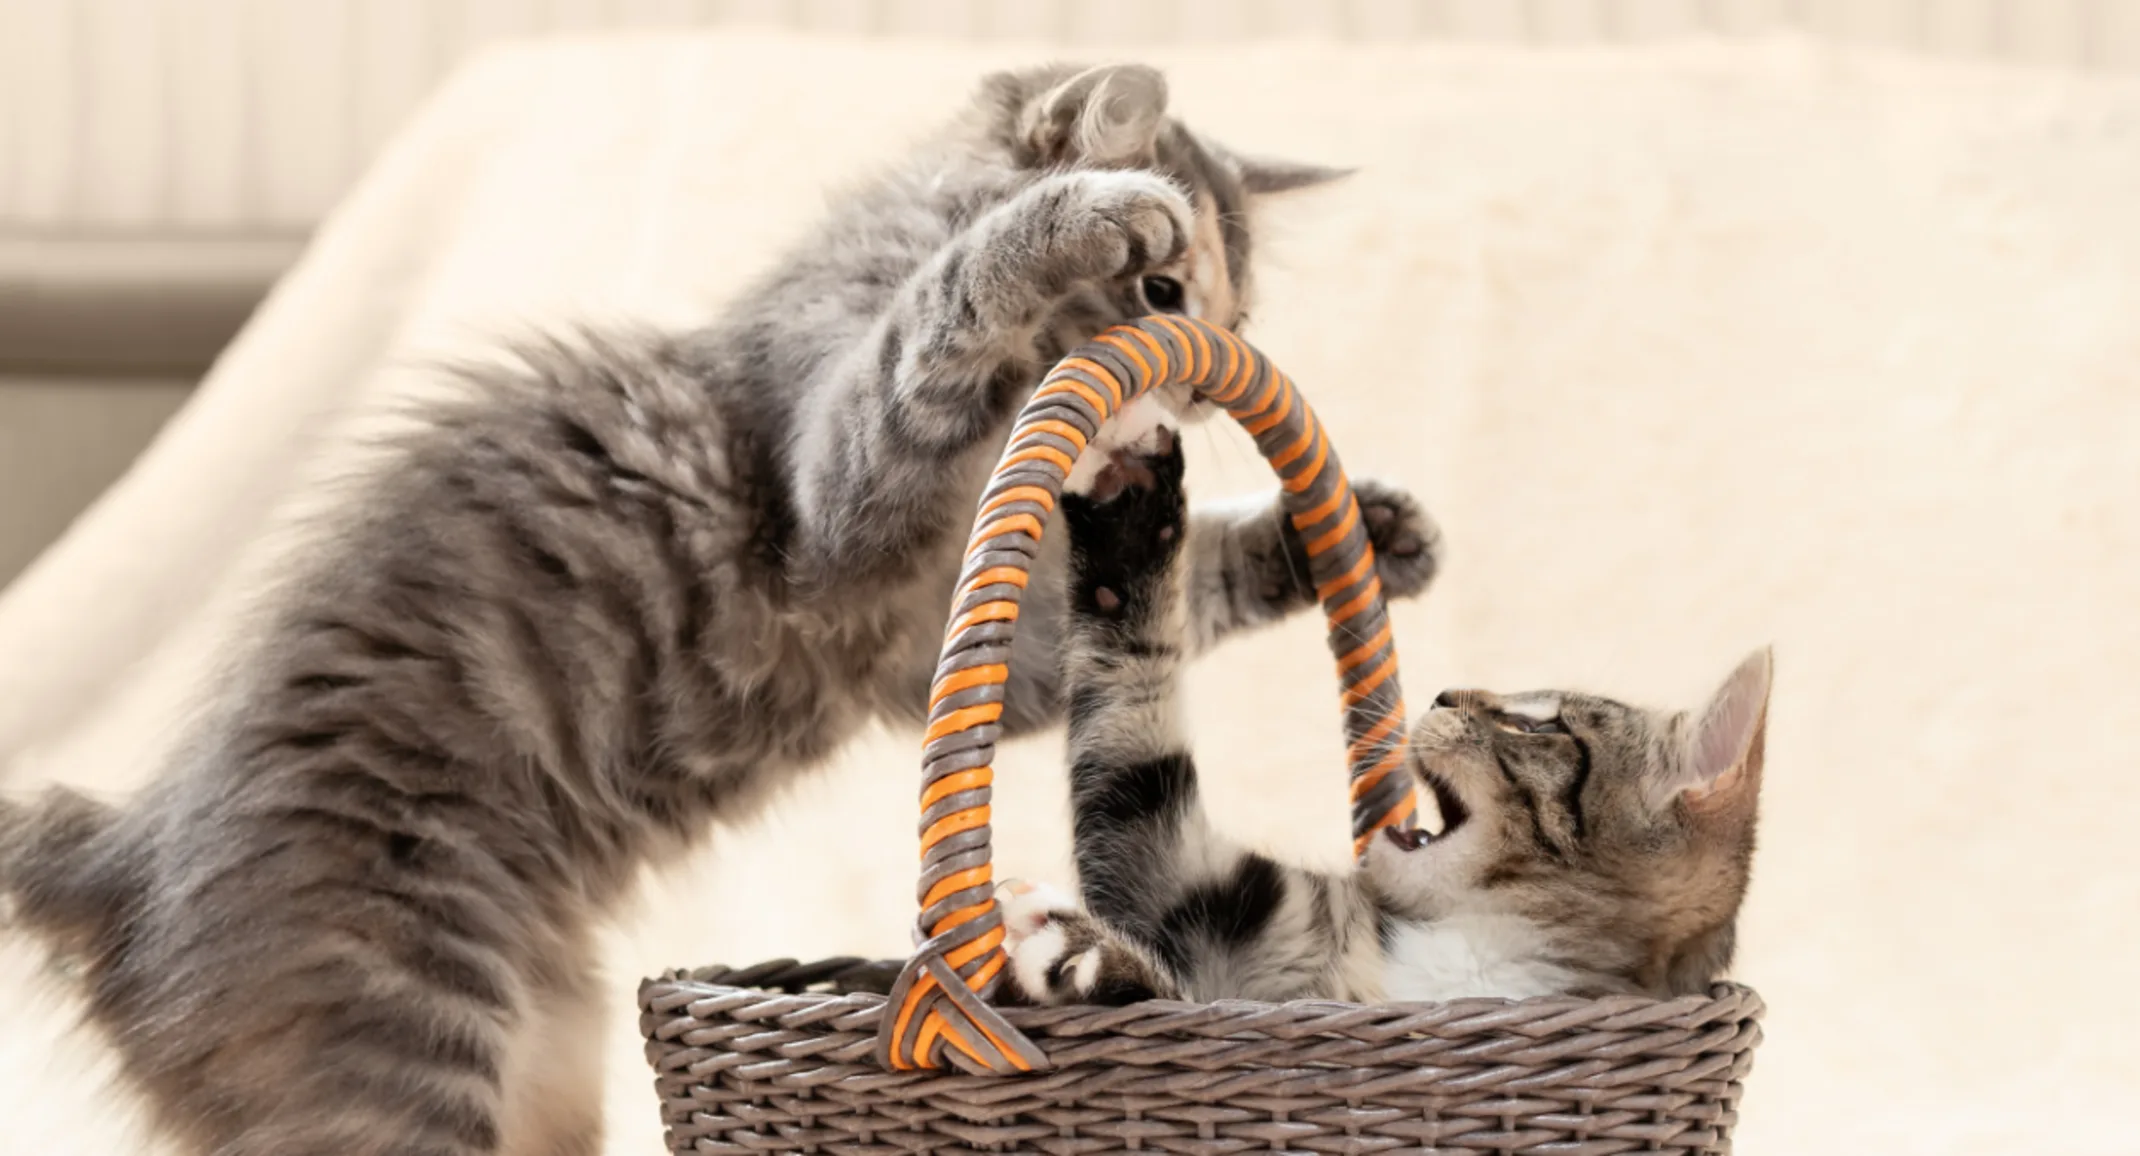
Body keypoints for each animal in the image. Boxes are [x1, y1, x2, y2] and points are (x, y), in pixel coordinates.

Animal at [8, 63, 1438, 1156]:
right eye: (1163, 293)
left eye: (1238, 307)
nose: (1201, 379)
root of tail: (118, 860)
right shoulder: (840, 496)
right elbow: (949, 304)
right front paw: (1082, 215)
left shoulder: (981, 642)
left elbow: (1181, 583)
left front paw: (1365, 532)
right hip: (396, 1051)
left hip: (546, 1071)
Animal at [1001, 428, 1771, 1006]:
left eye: (1539, 726)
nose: (1443, 696)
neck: (1474, 950)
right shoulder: (1200, 882)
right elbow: (1132, 741)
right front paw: (1128, 495)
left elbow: (1167, 993)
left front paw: (1083, 956)